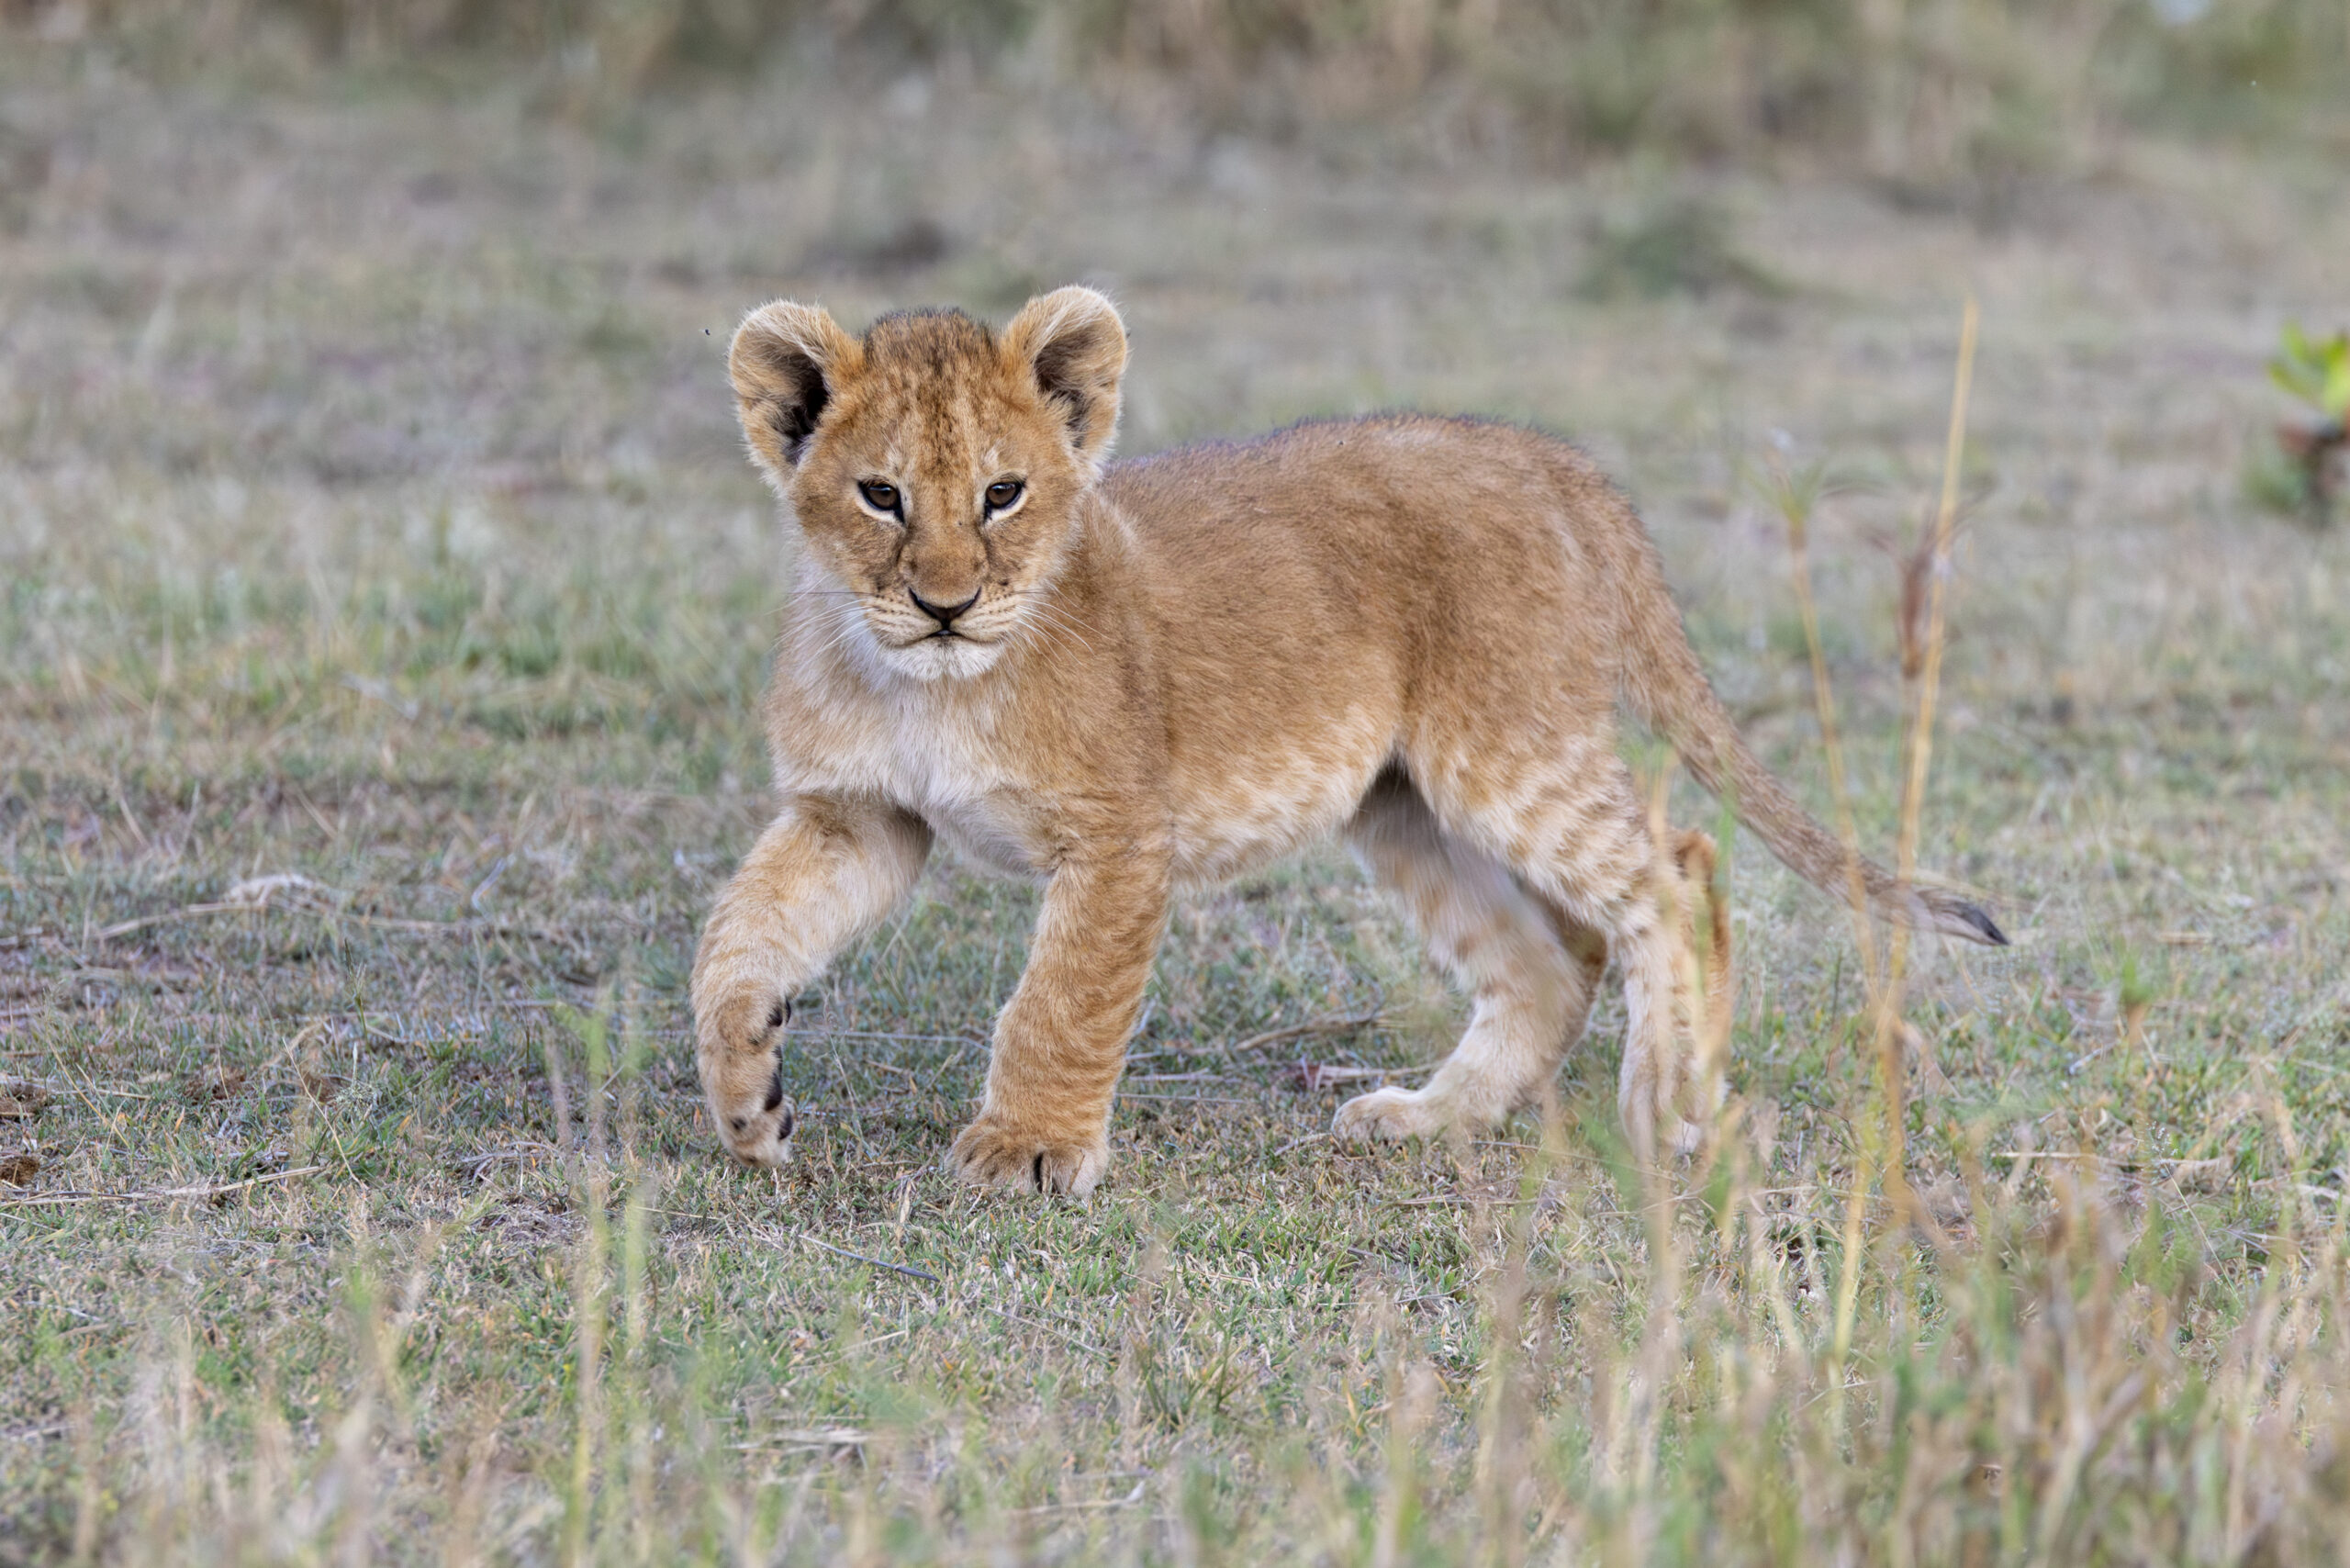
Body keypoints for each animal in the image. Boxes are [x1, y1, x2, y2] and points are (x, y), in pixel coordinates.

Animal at [688, 286, 2005, 1193]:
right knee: (1543, 963)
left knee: (1676, 872)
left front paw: (1028, 1150)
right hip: (1403, 801)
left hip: (1504, 751)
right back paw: (1425, 1117)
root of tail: (1551, 458)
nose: (946, 604)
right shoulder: (860, 817)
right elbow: (736, 940)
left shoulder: (1118, 836)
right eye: (882, 497)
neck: (926, 686)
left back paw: (1667, 1103)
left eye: (1003, 494)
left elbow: (1061, 1000)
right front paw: (751, 1100)